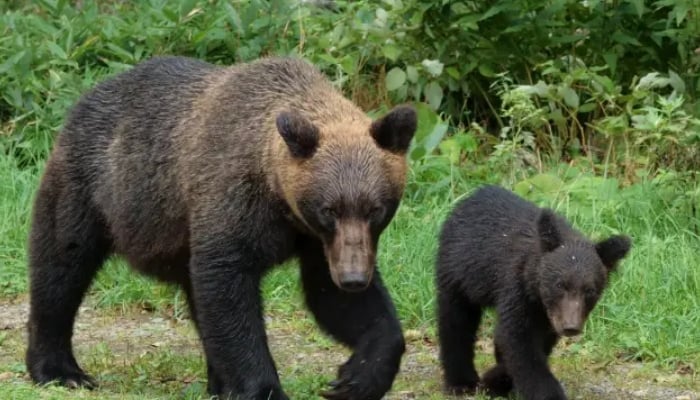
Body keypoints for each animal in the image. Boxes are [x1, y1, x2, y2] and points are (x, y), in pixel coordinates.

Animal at [25, 55, 417, 400]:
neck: (280, 199)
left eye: (376, 209)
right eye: (329, 209)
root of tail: (88, 96)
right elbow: (229, 291)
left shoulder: (320, 241)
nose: (353, 278)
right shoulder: (234, 201)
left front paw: (357, 377)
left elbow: (336, 299)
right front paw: (264, 388)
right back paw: (59, 369)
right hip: (91, 187)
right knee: (61, 265)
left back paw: (218, 382)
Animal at [435, 185, 631, 400]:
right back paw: (461, 382)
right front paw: (548, 393)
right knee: (456, 321)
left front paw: (496, 380)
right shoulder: (516, 289)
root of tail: (470, 197)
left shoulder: (548, 316)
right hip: (458, 273)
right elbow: (520, 342)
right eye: (560, 284)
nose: (571, 327)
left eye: (590, 290)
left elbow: (531, 342)